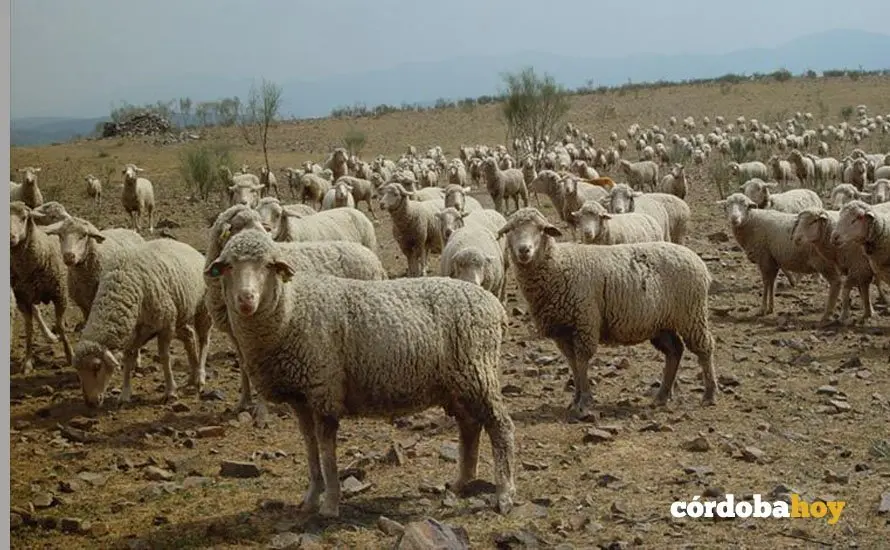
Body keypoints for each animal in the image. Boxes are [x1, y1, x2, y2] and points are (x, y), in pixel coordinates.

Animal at [9, 202, 74, 374]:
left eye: (24, 217)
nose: (11, 237)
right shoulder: (22, 299)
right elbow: (29, 330)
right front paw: (27, 361)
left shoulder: (60, 294)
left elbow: (60, 326)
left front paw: (70, 355)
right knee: (37, 312)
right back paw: (49, 335)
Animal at [73, 238, 212, 407]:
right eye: (78, 371)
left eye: (97, 367)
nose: (90, 403)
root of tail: (191, 249)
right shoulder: (135, 331)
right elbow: (128, 357)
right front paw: (125, 394)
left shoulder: (165, 326)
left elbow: (165, 357)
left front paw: (170, 391)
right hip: (179, 314)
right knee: (190, 336)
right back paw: (193, 376)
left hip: (202, 309)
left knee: (204, 340)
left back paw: (200, 376)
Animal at [205, 228, 516, 517]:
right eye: (229, 265)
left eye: (268, 265)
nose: (246, 299)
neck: (291, 310)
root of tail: (494, 306)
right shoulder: (302, 398)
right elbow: (310, 448)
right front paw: (311, 498)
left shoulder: (324, 389)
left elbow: (327, 453)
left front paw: (330, 503)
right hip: (459, 382)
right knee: (470, 426)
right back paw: (462, 482)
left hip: (478, 371)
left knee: (500, 427)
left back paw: (504, 493)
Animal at [496, 208, 718, 419]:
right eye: (510, 229)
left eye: (541, 229)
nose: (524, 250)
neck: (558, 265)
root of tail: (697, 260)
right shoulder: (562, 330)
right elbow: (572, 363)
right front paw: (575, 398)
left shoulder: (585, 321)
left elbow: (582, 361)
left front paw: (585, 401)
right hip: (662, 323)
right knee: (674, 351)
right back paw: (662, 396)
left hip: (692, 314)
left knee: (704, 349)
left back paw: (709, 394)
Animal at [718, 193, 841, 323]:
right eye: (727, 206)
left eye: (745, 205)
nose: (734, 219)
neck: (753, 222)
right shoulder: (773, 261)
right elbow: (773, 283)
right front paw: (771, 307)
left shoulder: (764, 258)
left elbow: (766, 283)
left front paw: (762, 309)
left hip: (825, 262)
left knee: (836, 282)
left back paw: (827, 315)